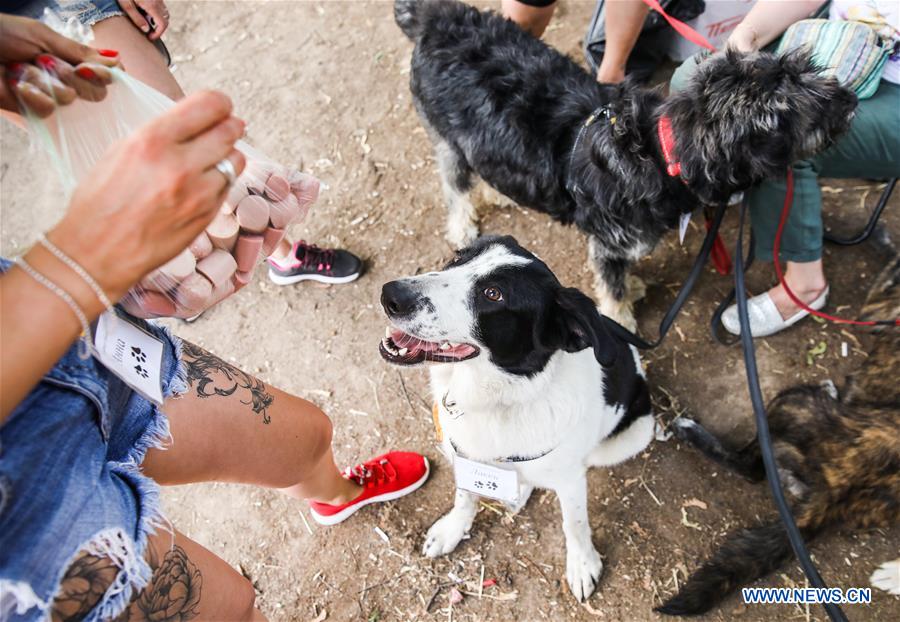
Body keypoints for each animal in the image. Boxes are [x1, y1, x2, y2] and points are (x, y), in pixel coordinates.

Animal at [380, 235, 652, 604]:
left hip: (629, 437)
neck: (502, 401)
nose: (390, 295)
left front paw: (583, 564)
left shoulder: (570, 479)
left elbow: (575, 524)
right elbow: (464, 497)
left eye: (493, 294)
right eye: (458, 258)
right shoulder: (463, 455)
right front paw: (453, 529)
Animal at [396, 0, 856, 330]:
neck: (659, 152)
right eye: (785, 112)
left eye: (806, 71)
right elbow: (611, 289)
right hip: (447, 137)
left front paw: (633, 286)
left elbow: (622, 278)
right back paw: (463, 225)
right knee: (455, 185)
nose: (849, 101)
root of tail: (437, 18)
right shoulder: (608, 243)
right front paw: (621, 318)